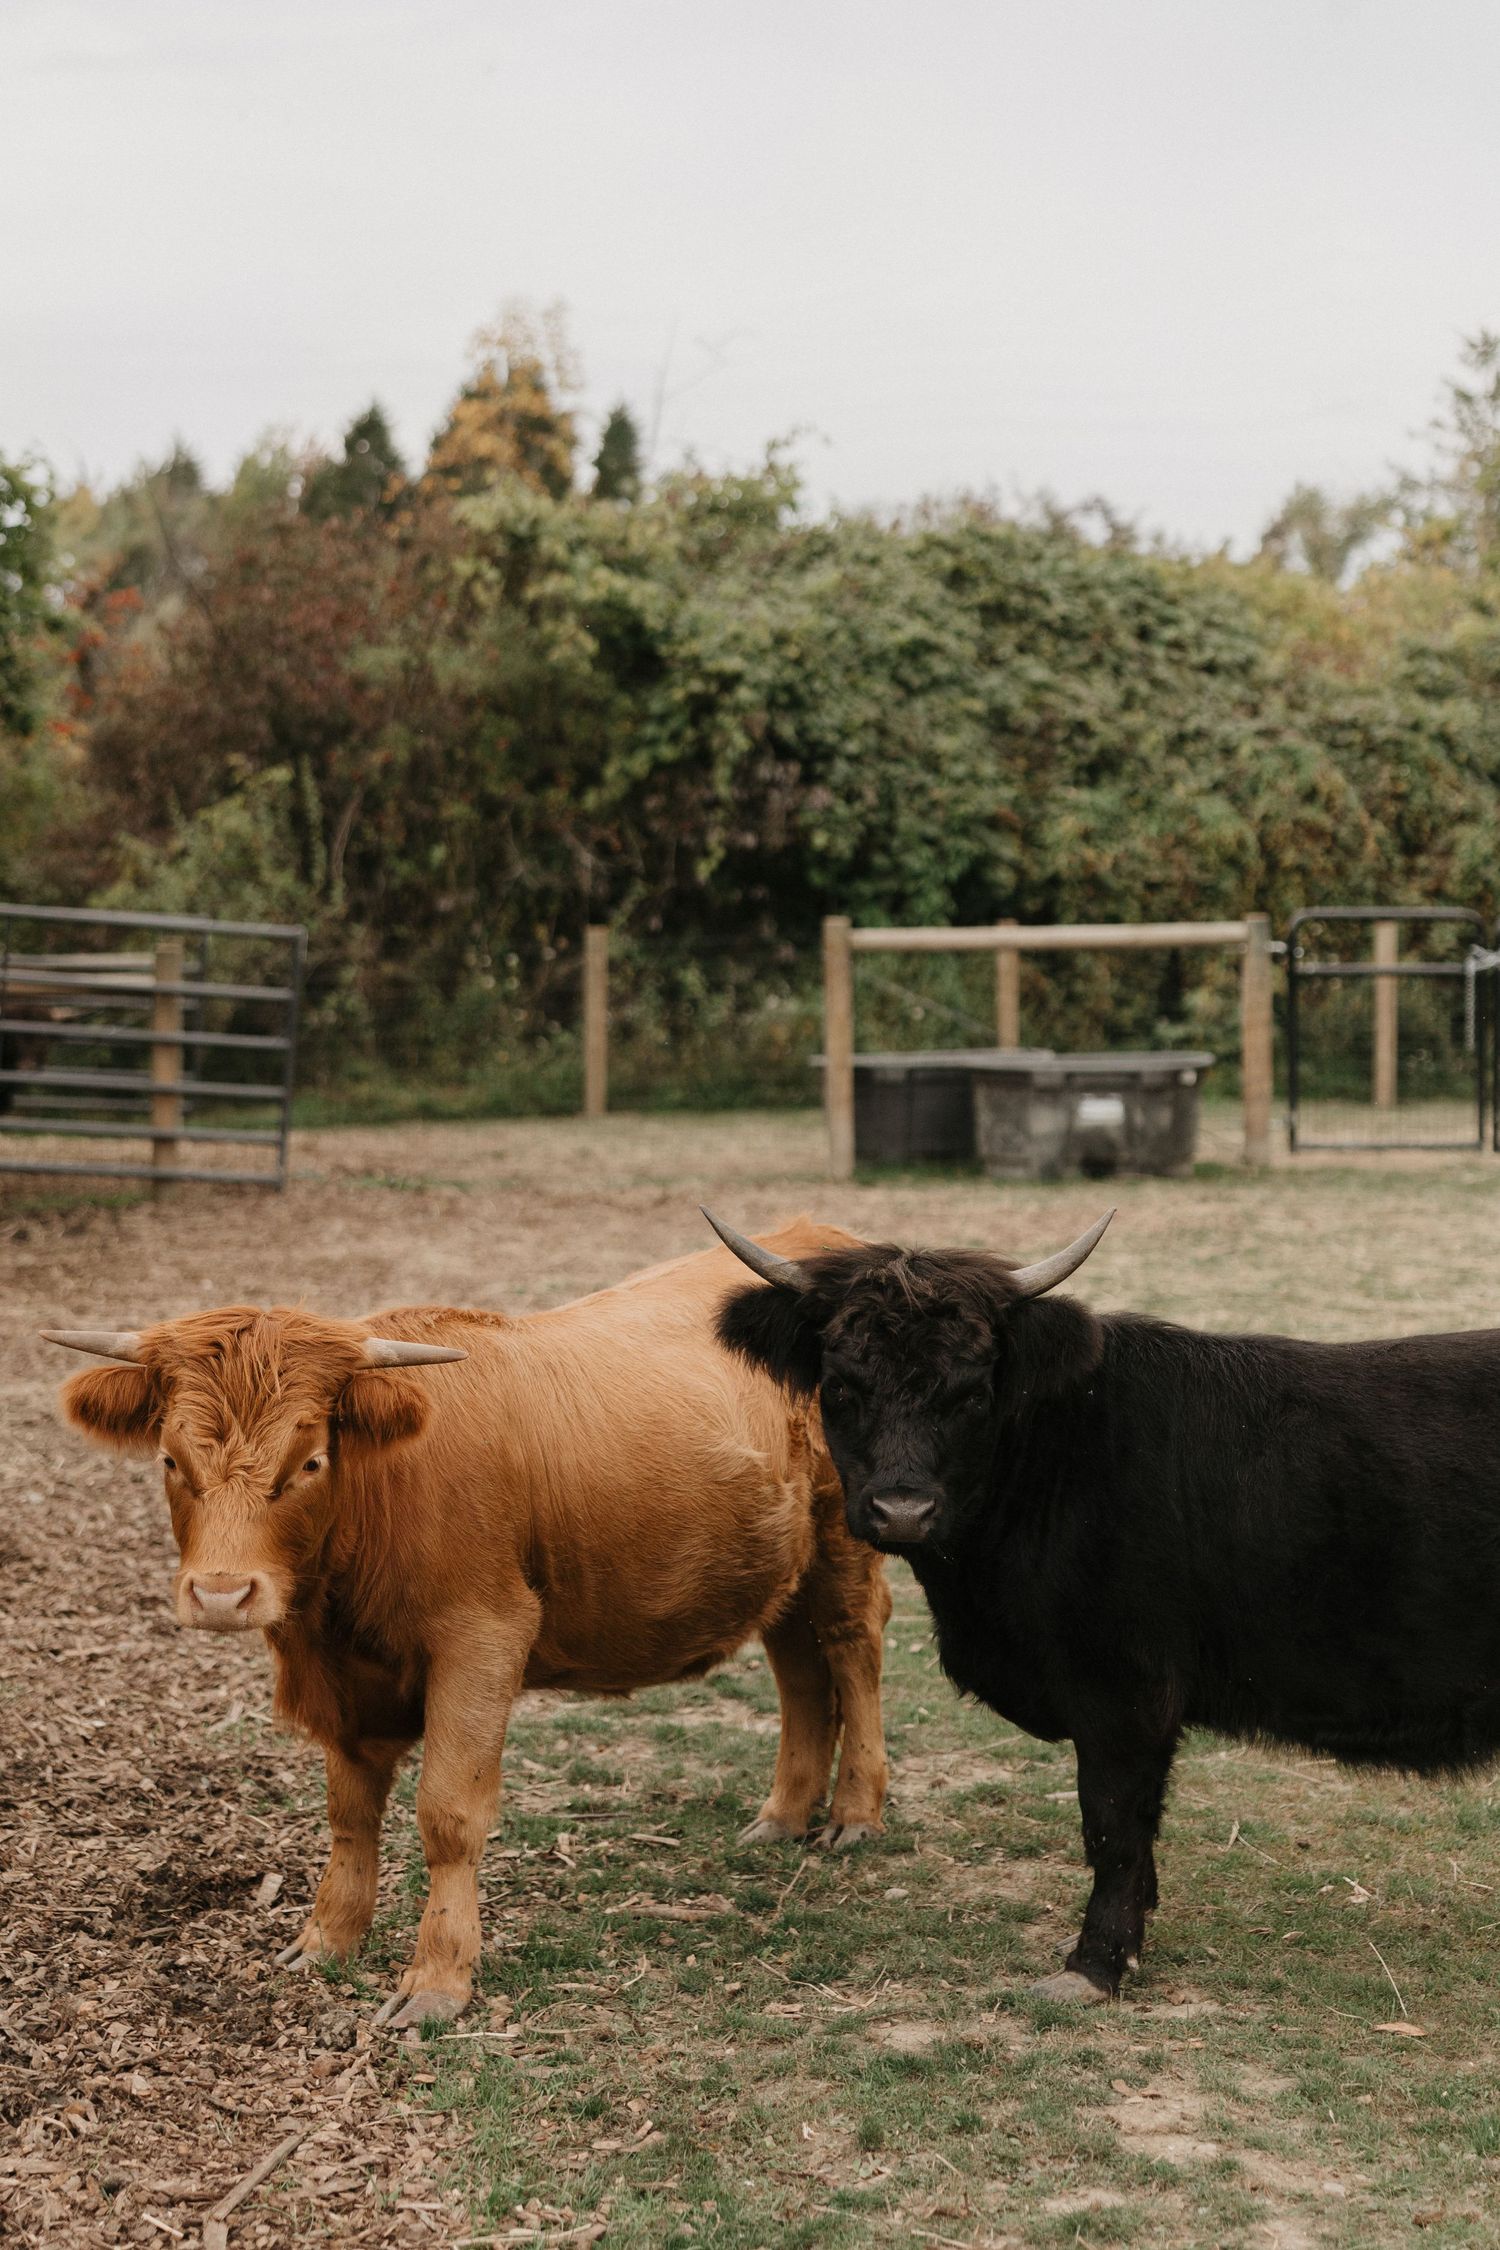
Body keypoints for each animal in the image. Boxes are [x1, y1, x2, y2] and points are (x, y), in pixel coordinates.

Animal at [42, 1220, 891, 2029]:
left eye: (310, 1462)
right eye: (170, 1460)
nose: (222, 1594)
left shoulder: (482, 1640)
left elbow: (448, 1814)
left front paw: (438, 1980)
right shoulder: (345, 1681)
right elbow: (350, 1812)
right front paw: (328, 1938)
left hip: (846, 1544)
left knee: (853, 1655)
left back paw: (854, 1814)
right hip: (780, 1565)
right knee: (800, 1674)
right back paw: (782, 1816)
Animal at [706, 1204, 1500, 2003]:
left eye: (973, 1392)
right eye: (841, 1386)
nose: (903, 1511)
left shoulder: (1124, 1690)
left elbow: (1114, 1825)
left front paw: (1096, 1964)